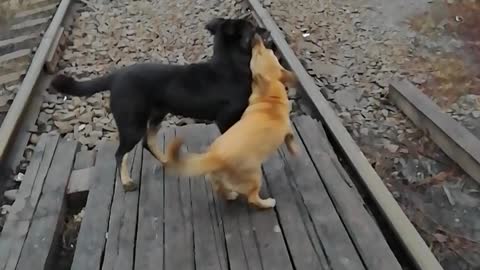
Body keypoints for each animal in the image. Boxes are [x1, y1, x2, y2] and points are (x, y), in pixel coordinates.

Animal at [52, 17, 272, 191]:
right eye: (253, 28)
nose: (267, 30)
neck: (230, 67)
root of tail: (115, 77)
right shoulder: (225, 118)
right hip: (132, 124)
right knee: (120, 154)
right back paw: (126, 182)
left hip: (157, 114)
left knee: (148, 142)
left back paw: (168, 160)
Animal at [165, 34, 300, 209]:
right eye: (262, 52)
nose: (256, 38)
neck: (269, 95)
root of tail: (215, 157)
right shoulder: (287, 129)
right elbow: (290, 139)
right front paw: (295, 151)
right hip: (255, 176)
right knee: (252, 198)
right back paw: (268, 203)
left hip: (216, 179)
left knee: (219, 190)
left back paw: (230, 195)